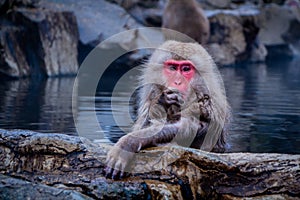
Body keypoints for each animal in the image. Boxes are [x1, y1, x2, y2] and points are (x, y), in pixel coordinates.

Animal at [105, 39, 230, 179]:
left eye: (186, 69)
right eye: (172, 68)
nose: (177, 82)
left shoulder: (208, 107)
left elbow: (189, 126)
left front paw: (127, 144)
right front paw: (162, 101)